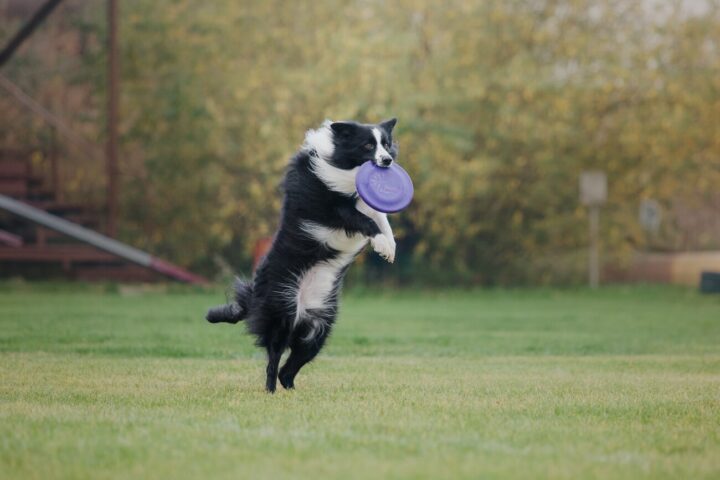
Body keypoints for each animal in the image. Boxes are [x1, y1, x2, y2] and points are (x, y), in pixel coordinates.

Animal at [205, 118, 400, 392]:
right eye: (368, 145)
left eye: (387, 144)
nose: (387, 161)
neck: (342, 165)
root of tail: (252, 298)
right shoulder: (329, 207)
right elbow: (364, 219)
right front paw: (381, 243)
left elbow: (381, 218)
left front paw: (389, 247)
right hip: (281, 314)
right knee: (273, 361)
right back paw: (270, 392)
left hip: (319, 330)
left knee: (288, 368)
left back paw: (292, 391)